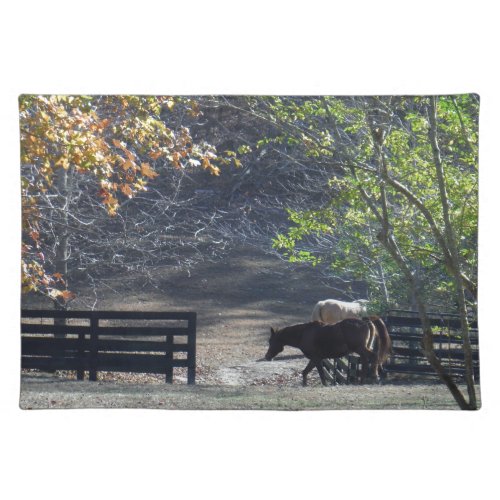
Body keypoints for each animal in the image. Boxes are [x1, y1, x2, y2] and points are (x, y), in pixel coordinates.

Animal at [264, 316, 392, 386]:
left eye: (271, 341)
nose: (267, 356)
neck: (303, 333)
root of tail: (365, 321)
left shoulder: (316, 359)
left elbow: (321, 374)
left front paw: (324, 385)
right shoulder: (315, 359)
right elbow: (305, 372)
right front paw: (305, 385)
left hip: (360, 348)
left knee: (373, 357)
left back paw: (375, 377)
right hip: (362, 349)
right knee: (366, 361)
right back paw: (362, 381)